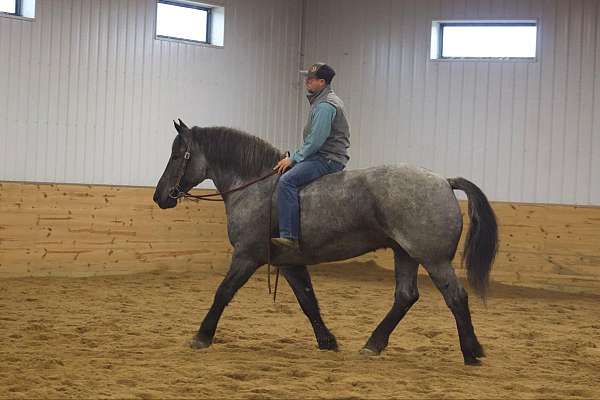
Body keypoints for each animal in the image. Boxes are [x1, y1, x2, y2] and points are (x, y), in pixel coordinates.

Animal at [154, 120, 496, 368]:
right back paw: (373, 344)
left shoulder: (247, 256)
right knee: (405, 297)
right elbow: (308, 300)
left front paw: (202, 336)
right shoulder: (288, 262)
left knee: (456, 297)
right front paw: (327, 341)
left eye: (177, 156)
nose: (160, 196)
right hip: (406, 254)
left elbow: (223, 292)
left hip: (433, 259)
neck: (257, 187)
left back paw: (471, 352)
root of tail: (444, 181)